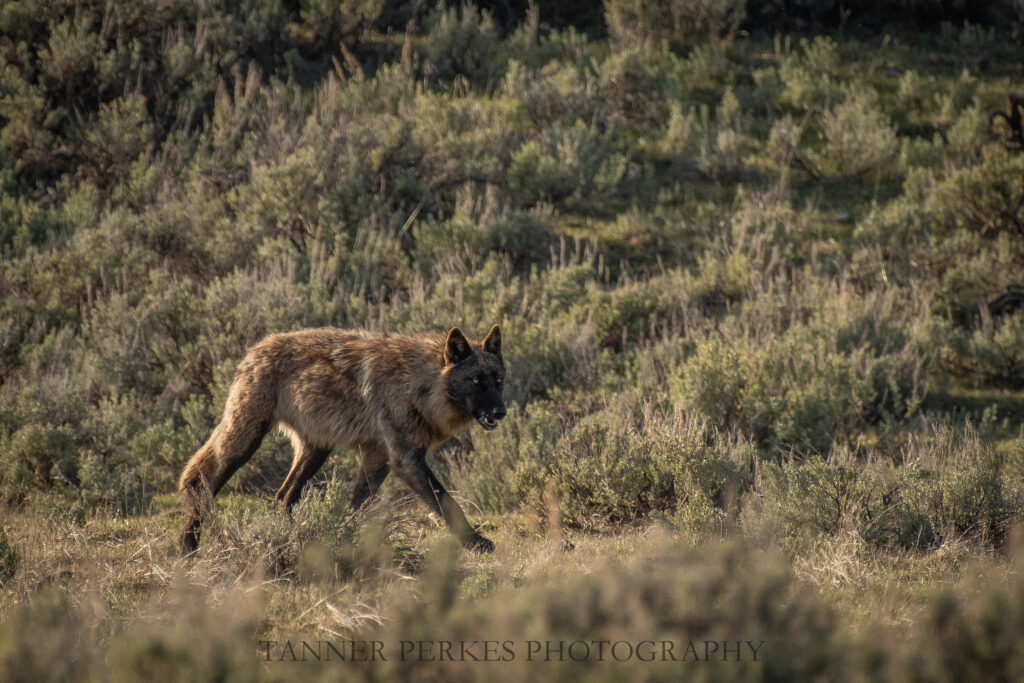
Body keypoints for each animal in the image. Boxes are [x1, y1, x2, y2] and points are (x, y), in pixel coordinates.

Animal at [177, 325, 506, 555]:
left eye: (498, 380)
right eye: (476, 381)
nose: (501, 412)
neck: (420, 386)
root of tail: (254, 349)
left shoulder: (377, 461)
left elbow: (354, 508)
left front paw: (343, 538)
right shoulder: (405, 460)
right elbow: (447, 502)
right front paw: (475, 542)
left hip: (316, 452)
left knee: (283, 496)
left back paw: (296, 541)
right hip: (245, 444)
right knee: (204, 485)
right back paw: (187, 549)